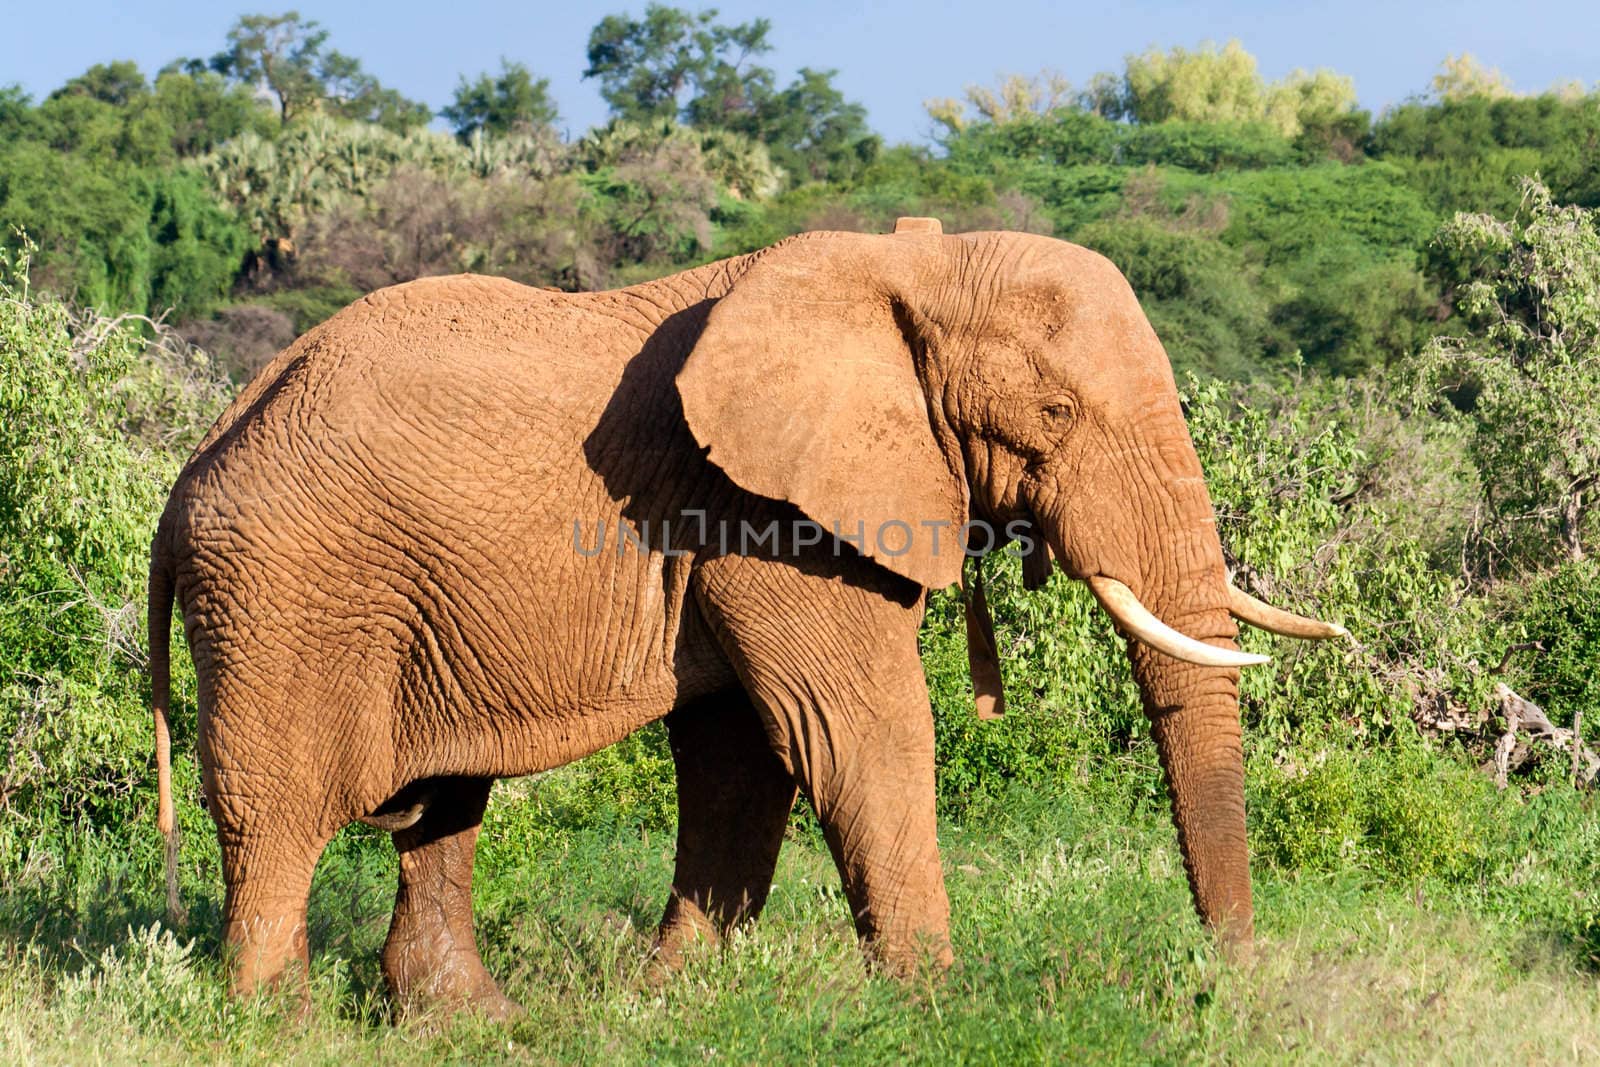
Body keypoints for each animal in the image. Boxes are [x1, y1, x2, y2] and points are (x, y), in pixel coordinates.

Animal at [152, 214, 1350, 1017]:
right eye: (1055, 412)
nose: (1227, 977)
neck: (911, 260)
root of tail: (193, 465)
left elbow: (742, 757)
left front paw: (671, 998)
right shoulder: (765, 512)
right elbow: (856, 730)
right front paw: (934, 1004)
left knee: (441, 806)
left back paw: (471, 1025)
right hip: (290, 594)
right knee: (281, 809)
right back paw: (278, 1027)